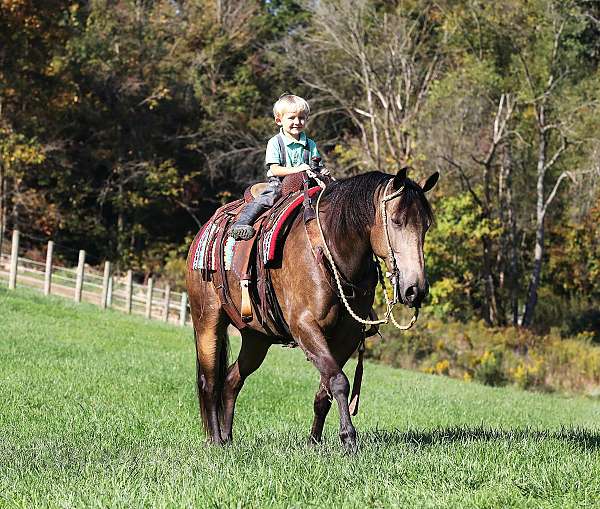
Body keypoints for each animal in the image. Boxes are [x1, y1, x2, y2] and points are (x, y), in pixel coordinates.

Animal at [185, 168, 438, 448]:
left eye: (426, 226)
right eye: (396, 221)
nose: (416, 289)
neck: (330, 250)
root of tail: (205, 230)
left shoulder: (347, 336)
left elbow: (325, 390)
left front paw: (314, 442)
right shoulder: (305, 327)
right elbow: (338, 381)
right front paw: (349, 439)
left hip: (256, 338)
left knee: (231, 380)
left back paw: (228, 438)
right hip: (208, 321)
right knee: (210, 382)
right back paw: (216, 440)